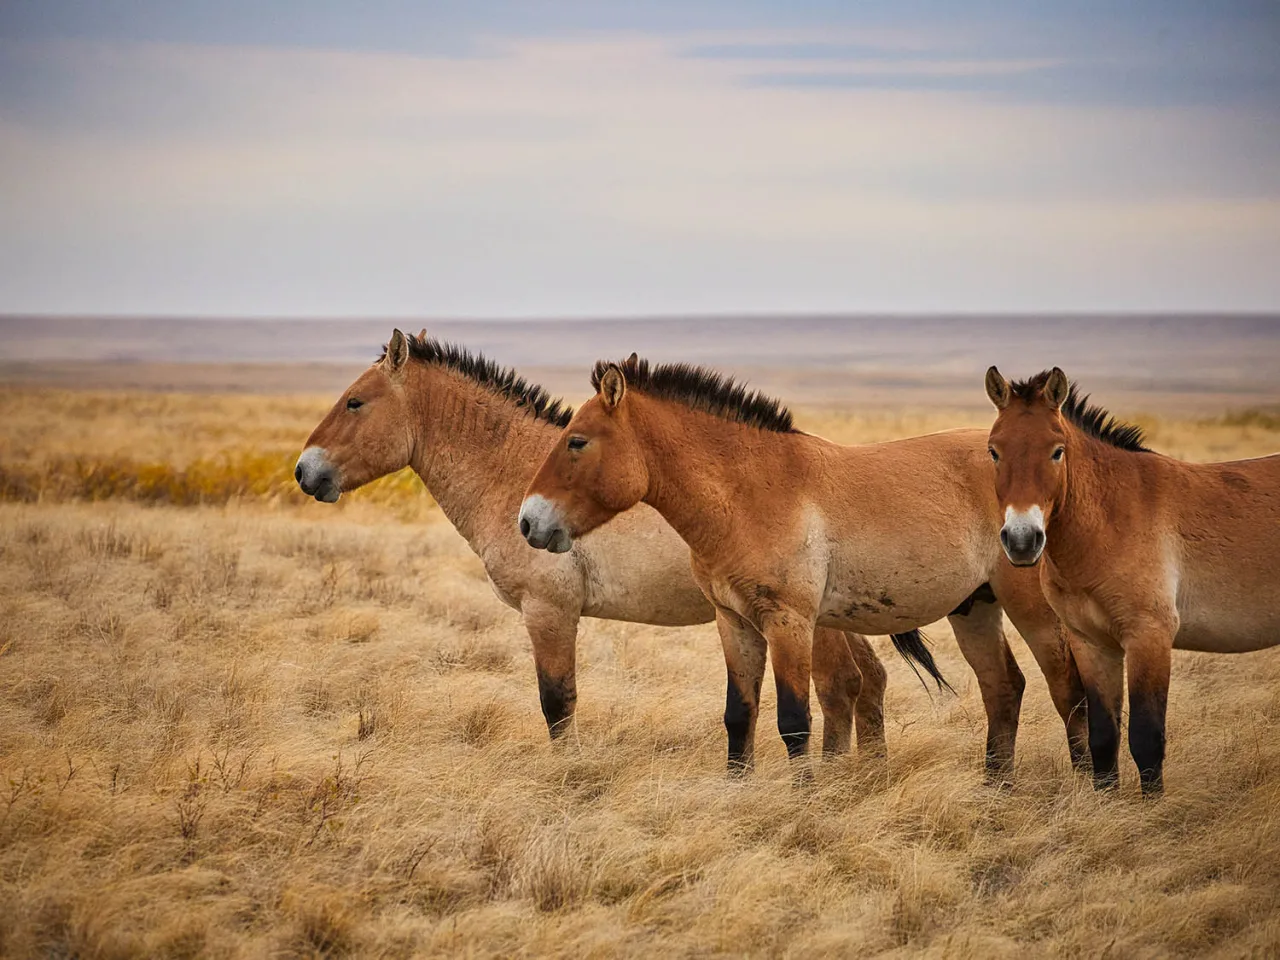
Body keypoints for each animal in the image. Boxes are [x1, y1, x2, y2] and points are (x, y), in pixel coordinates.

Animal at [294, 328, 905, 758]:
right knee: (869, 682)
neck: (515, 473)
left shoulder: (549, 611)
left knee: (841, 686)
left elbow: (557, 703)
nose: (305, 472)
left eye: (354, 402)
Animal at [519, 355, 1091, 778]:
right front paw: (739, 790)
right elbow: (739, 715)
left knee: (1068, 690)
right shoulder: (735, 623)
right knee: (1004, 689)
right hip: (974, 608)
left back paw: (1086, 785)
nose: (528, 522)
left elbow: (794, 719)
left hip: (1032, 610)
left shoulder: (789, 623)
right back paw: (996, 787)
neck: (748, 495)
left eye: (576, 441)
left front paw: (804, 800)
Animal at [985, 366, 1280, 795]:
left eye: (1057, 451)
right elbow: (1103, 737)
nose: (1022, 541)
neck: (1112, 518)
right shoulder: (1092, 644)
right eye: (994, 451)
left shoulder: (1148, 637)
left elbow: (1146, 738)